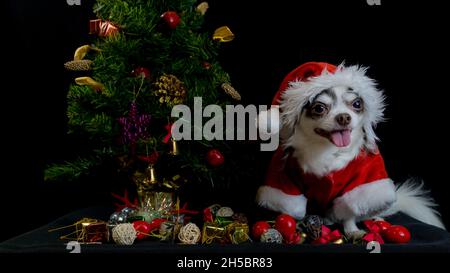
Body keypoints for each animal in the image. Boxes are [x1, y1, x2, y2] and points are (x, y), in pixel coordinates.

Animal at [256, 61, 442, 236]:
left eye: (357, 103)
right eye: (319, 108)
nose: (344, 117)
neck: (327, 149)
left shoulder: (357, 181)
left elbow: (349, 212)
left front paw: (352, 230)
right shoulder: (286, 180)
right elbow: (291, 207)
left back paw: (376, 218)